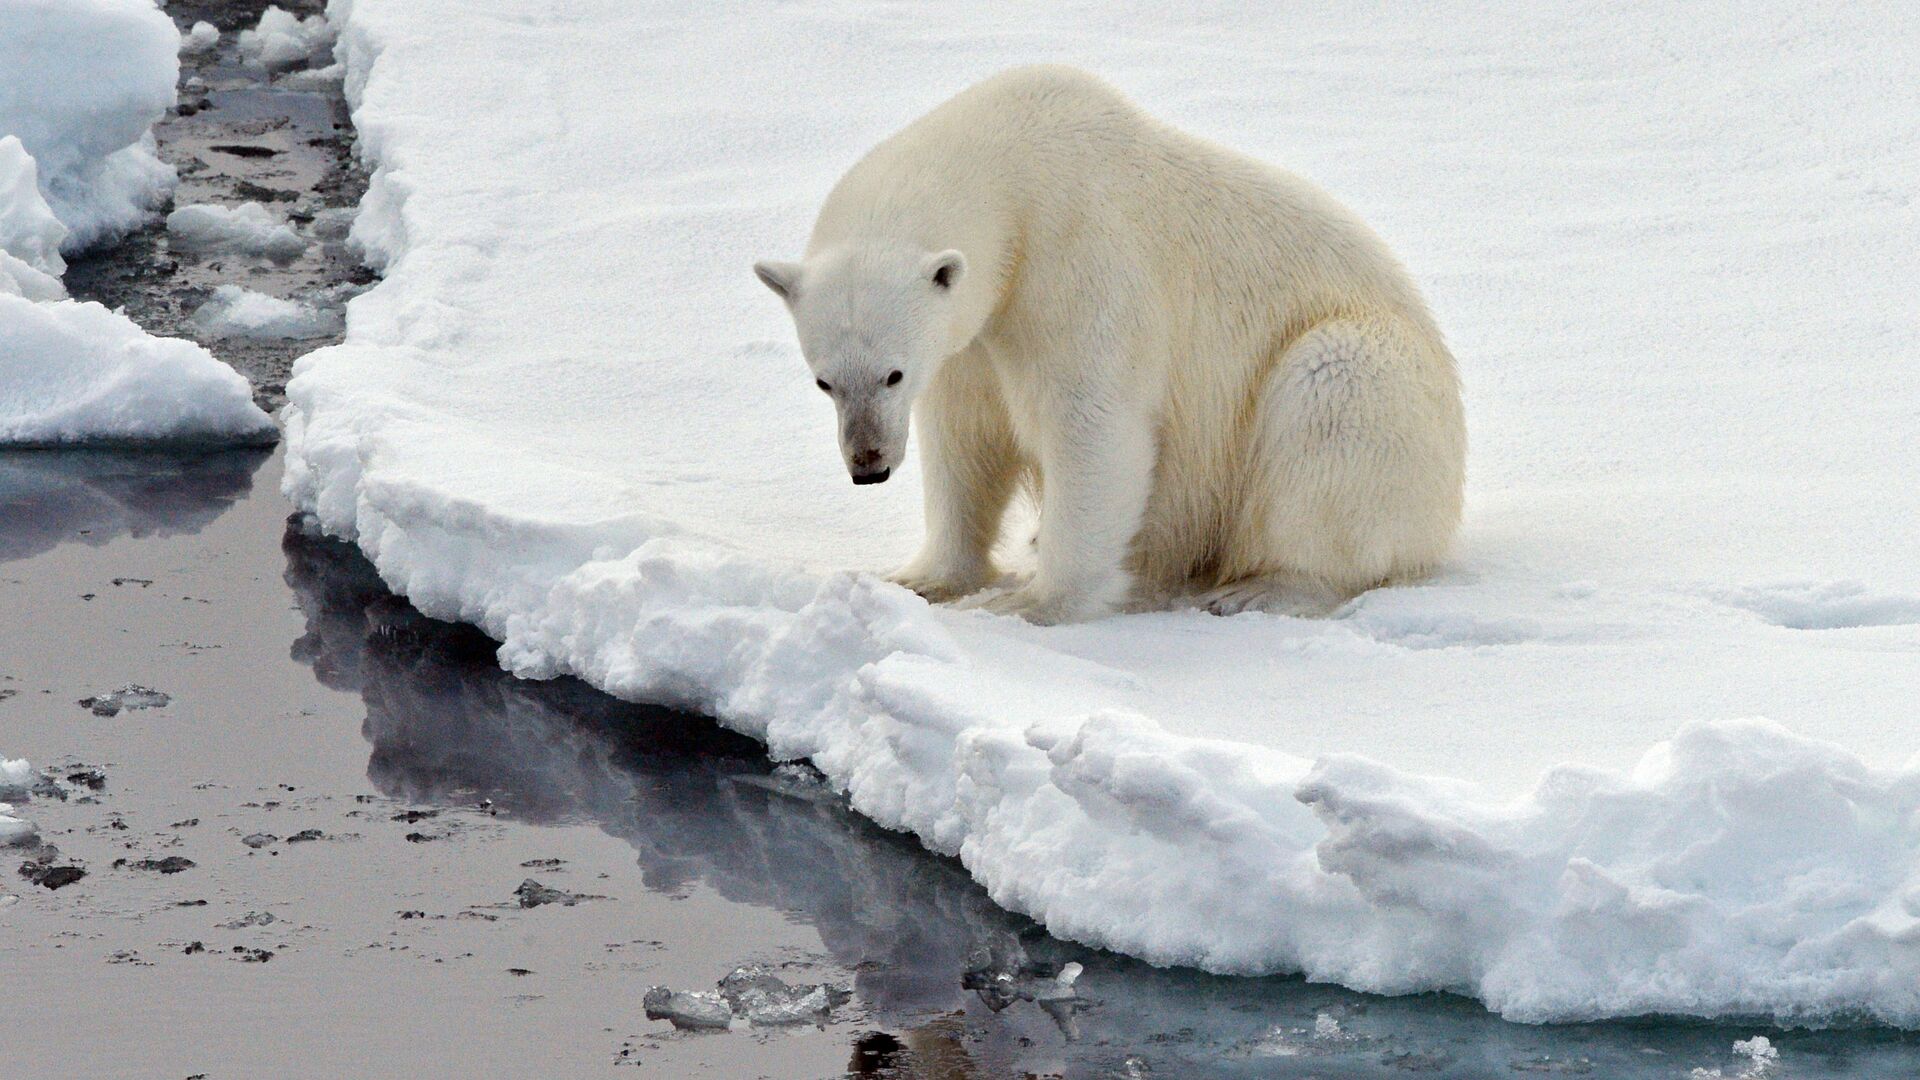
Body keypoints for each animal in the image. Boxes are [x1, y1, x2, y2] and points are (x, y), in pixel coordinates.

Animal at [756, 65, 1459, 622]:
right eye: (824, 380)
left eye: (893, 374)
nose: (868, 465)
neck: (1012, 168)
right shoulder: (971, 338)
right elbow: (965, 440)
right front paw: (921, 579)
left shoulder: (1076, 259)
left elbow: (1092, 423)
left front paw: (1030, 603)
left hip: (1374, 378)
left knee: (1330, 401)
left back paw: (1264, 587)